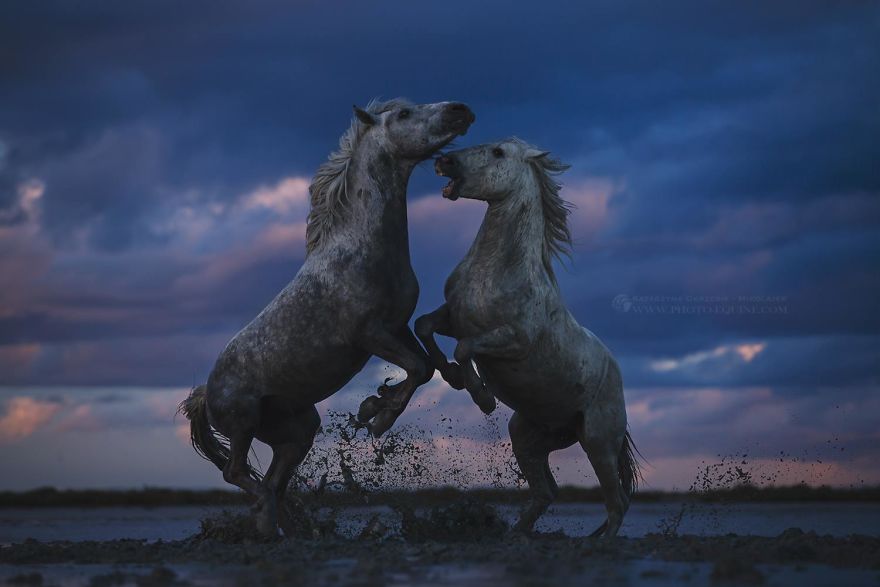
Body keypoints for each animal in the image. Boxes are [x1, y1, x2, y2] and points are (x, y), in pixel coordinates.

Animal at [179, 99, 475, 537]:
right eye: (403, 114)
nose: (460, 109)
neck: (361, 249)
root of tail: (206, 392)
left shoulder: (396, 325)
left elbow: (425, 367)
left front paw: (382, 403)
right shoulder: (369, 334)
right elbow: (418, 368)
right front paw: (377, 415)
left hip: (296, 432)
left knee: (274, 481)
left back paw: (288, 530)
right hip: (244, 421)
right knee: (237, 473)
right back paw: (268, 517)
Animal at [414, 138, 640, 537]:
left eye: (498, 152)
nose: (444, 161)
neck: (494, 272)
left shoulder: (513, 341)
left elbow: (465, 348)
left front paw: (482, 396)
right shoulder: (454, 318)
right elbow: (424, 326)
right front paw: (450, 375)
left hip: (598, 442)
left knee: (617, 501)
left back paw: (598, 542)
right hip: (528, 435)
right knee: (546, 492)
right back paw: (515, 533)